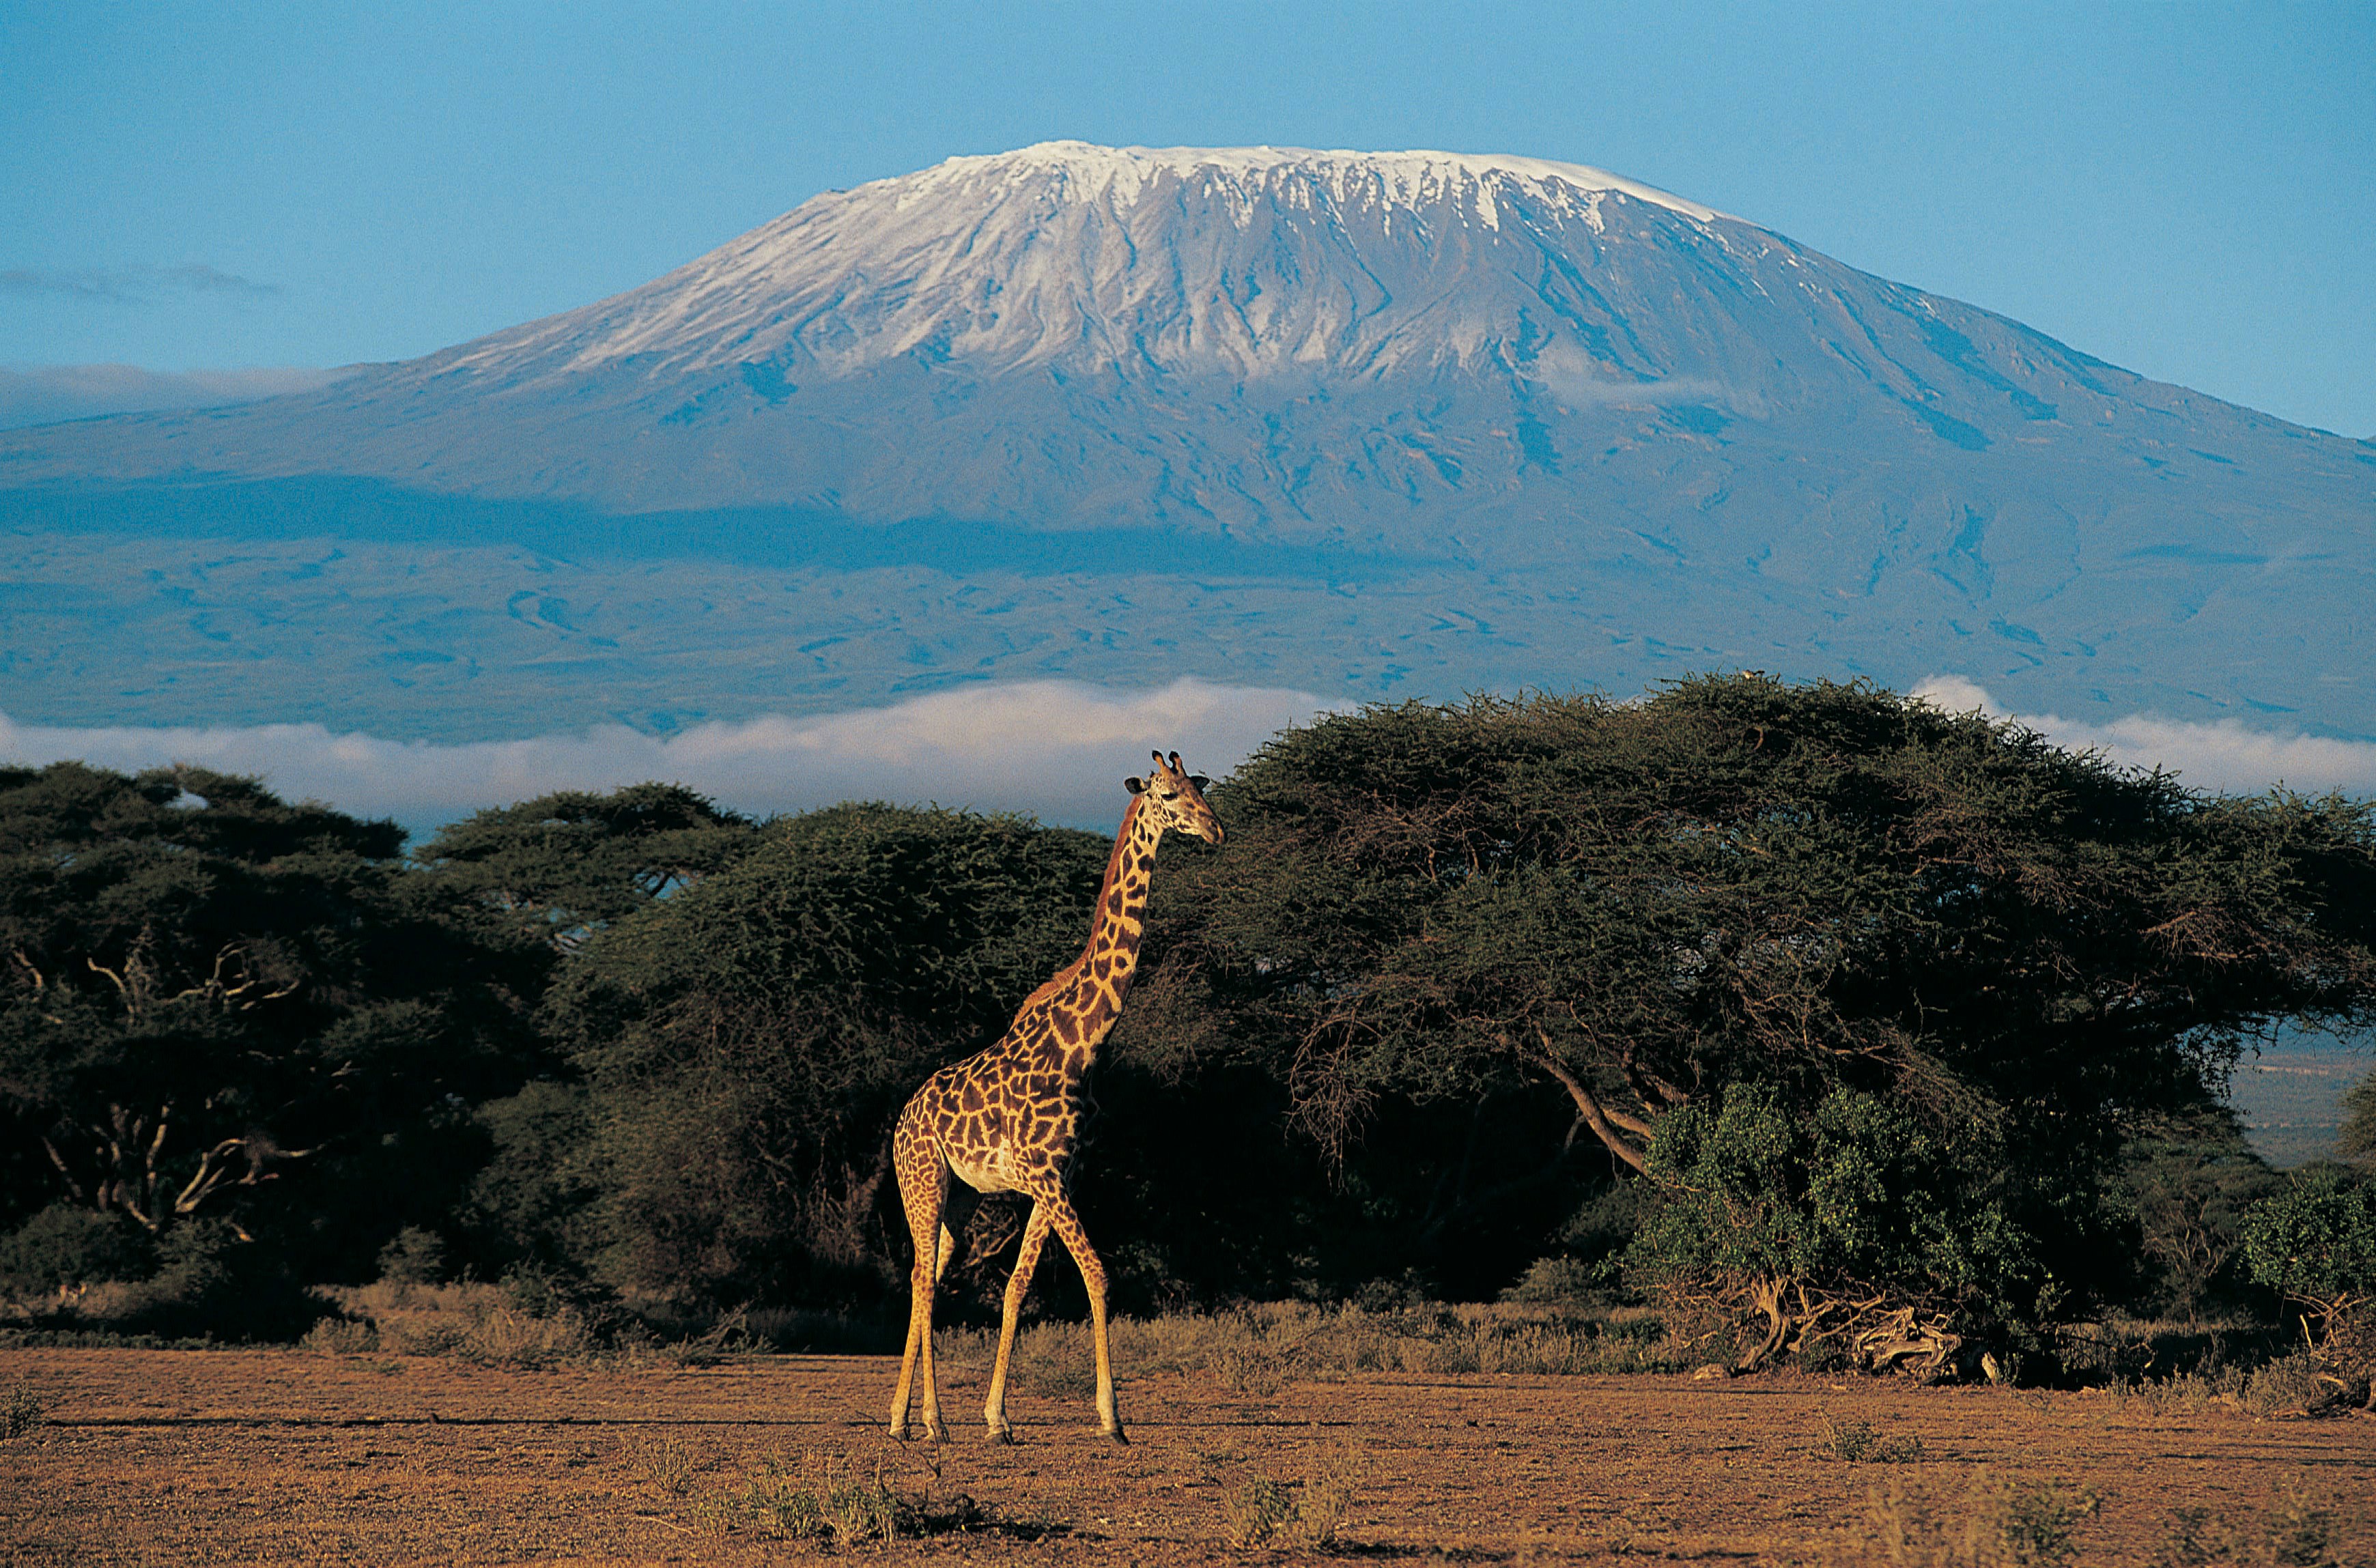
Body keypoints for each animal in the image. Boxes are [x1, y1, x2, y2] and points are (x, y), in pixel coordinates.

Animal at [893, 745, 1226, 1444]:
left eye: (1200, 787)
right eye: (1167, 795)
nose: (1215, 829)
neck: (1084, 1042)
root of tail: (901, 1121)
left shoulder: (1060, 1175)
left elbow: (1018, 1286)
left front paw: (997, 1417)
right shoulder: (1045, 1176)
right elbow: (1098, 1273)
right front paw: (1112, 1418)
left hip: (961, 1197)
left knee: (925, 1274)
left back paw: (900, 1418)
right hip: (923, 1180)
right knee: (923, 1279)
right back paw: (932, 1420)